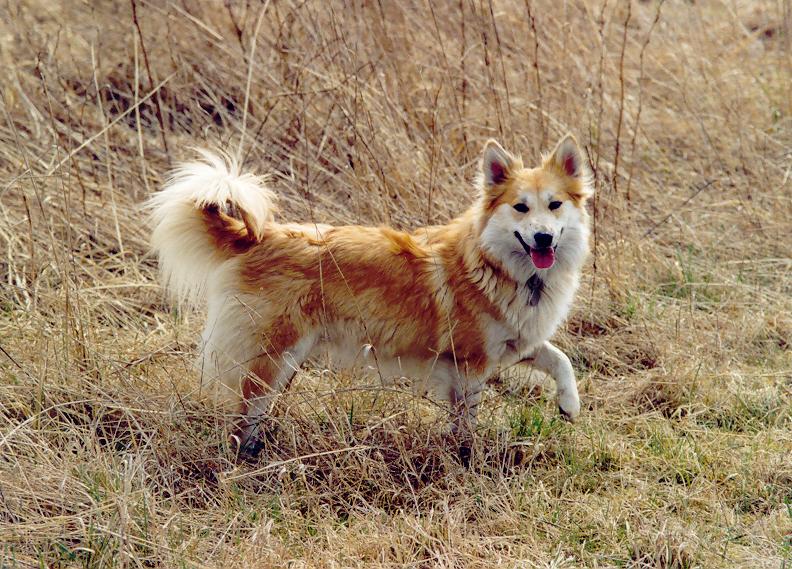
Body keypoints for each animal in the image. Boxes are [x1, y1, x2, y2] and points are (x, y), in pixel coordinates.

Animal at [148, 134, 592, 448]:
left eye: (554, 205)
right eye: (520, 208)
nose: (543, 238)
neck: (498, 265)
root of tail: (257, 236)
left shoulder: (517, 341)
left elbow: (560, 359)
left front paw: (569, 404)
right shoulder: (469, 365)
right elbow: (466, 420)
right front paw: (467, 456)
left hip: (285, 361)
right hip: (270, 357)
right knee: (242, 415)